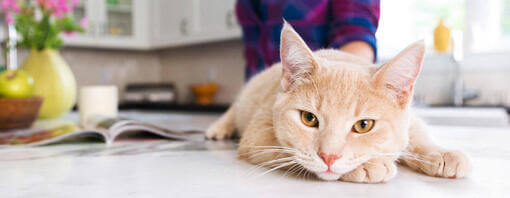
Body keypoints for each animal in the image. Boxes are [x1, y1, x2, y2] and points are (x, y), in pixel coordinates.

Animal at [205, 21, 472, 183]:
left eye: (364, 125)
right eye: (309, 118)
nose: (329, 157)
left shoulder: (410, 119)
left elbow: (416, 135)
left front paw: (441, 153)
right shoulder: (258, 134)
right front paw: (367, 165)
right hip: (247, 95)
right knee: (233, 108)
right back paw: (219, 128)